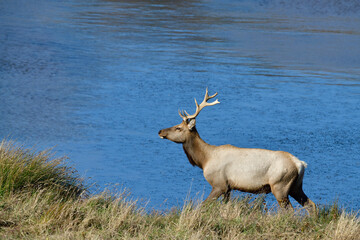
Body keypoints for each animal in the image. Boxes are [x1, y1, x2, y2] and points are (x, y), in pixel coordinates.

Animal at [159, 87, 316, 210]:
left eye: (178, 128)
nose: (160, 131)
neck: (204, 160)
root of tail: (300, 164)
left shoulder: (219, 184)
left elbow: (203, 205)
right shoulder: (229, 188)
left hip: (280, 186)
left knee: (289, 210)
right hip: (296, 186)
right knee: (311, 204)